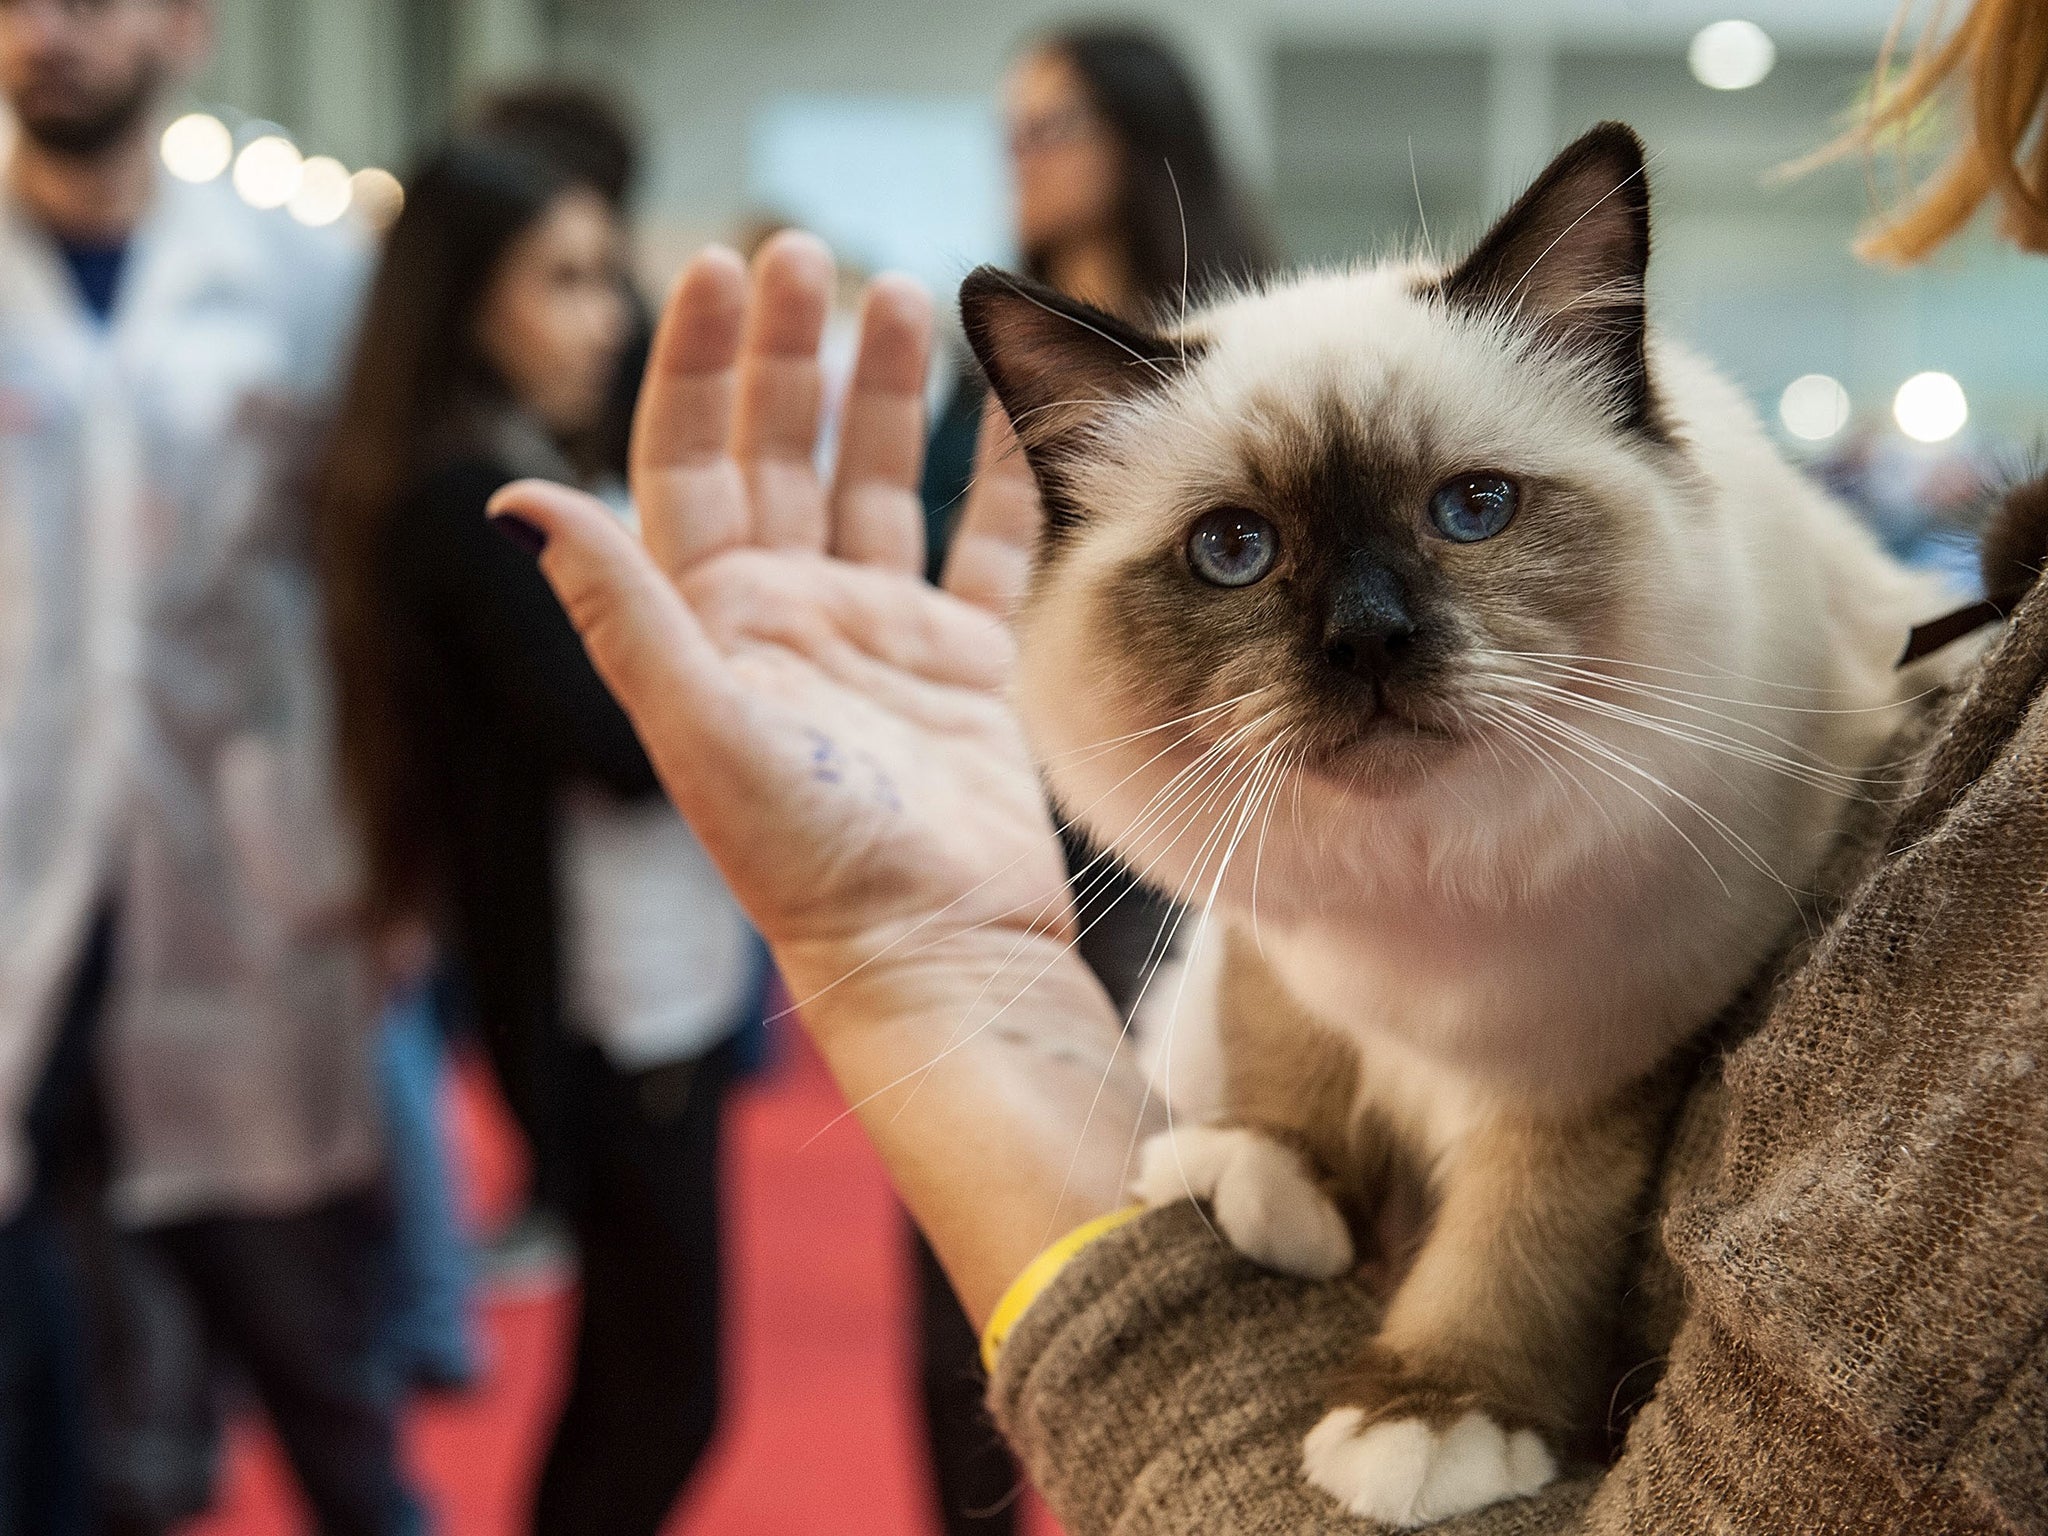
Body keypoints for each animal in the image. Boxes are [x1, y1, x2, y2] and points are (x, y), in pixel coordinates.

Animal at [958, 123, 1966, 1531]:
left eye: (1472, 511)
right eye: (1233, 549)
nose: (1367, 639)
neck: (1419, 881)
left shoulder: (1594, 1060)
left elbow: (1515, 1238)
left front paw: (1431, 1416)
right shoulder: (1279, 931)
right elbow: (1280, 1044)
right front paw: (1262, 1172)